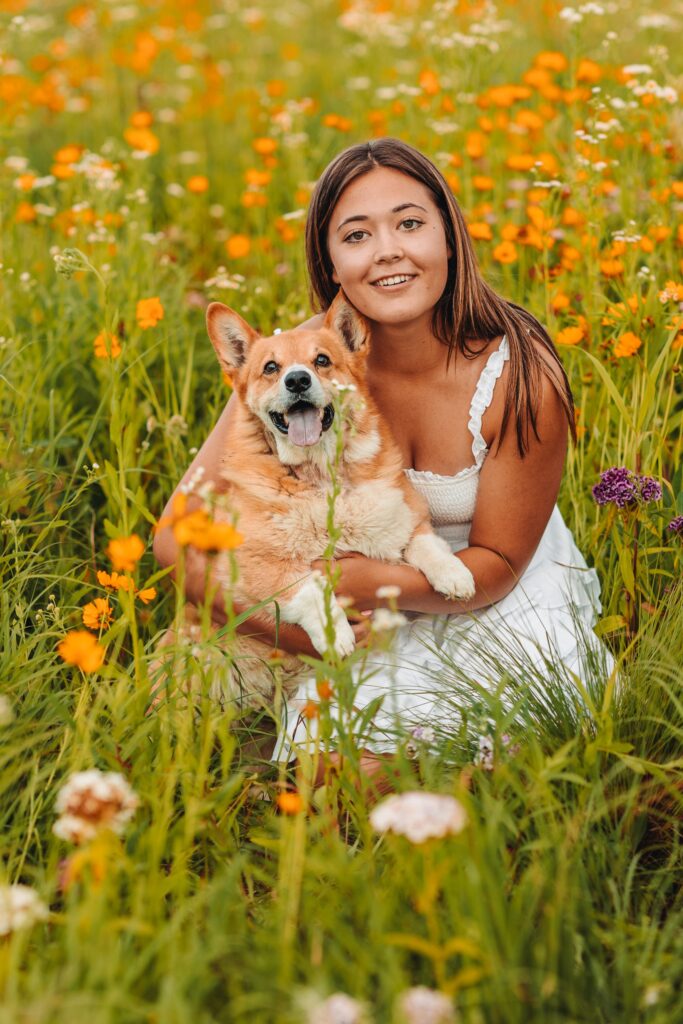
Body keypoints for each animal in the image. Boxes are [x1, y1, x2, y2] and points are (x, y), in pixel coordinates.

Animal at [154, 292, 475, 712]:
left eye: (321, 360)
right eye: (271, 367)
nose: (297, 380)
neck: (320, 478)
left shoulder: (407, 520)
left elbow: (427, 546)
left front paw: (454, 575)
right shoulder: (257, 565)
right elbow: (309, 588)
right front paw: (334, 632)